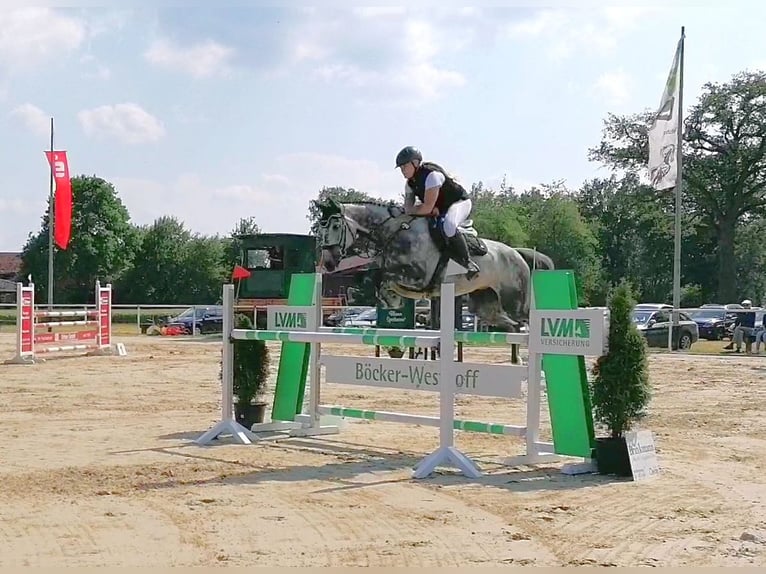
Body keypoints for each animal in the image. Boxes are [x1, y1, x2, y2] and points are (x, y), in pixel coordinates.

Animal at [316, 199, 556, 338]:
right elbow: (374, 278)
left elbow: (386, 279)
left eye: (336, 226)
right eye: (321, 228)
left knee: (526, 319)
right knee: (510, 324)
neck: (396, 232)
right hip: (485, 304)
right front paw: (386, 299)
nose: (327, 263)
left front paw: (390, 298)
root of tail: (517, 253)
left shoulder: (418, 278)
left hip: (515, 301)